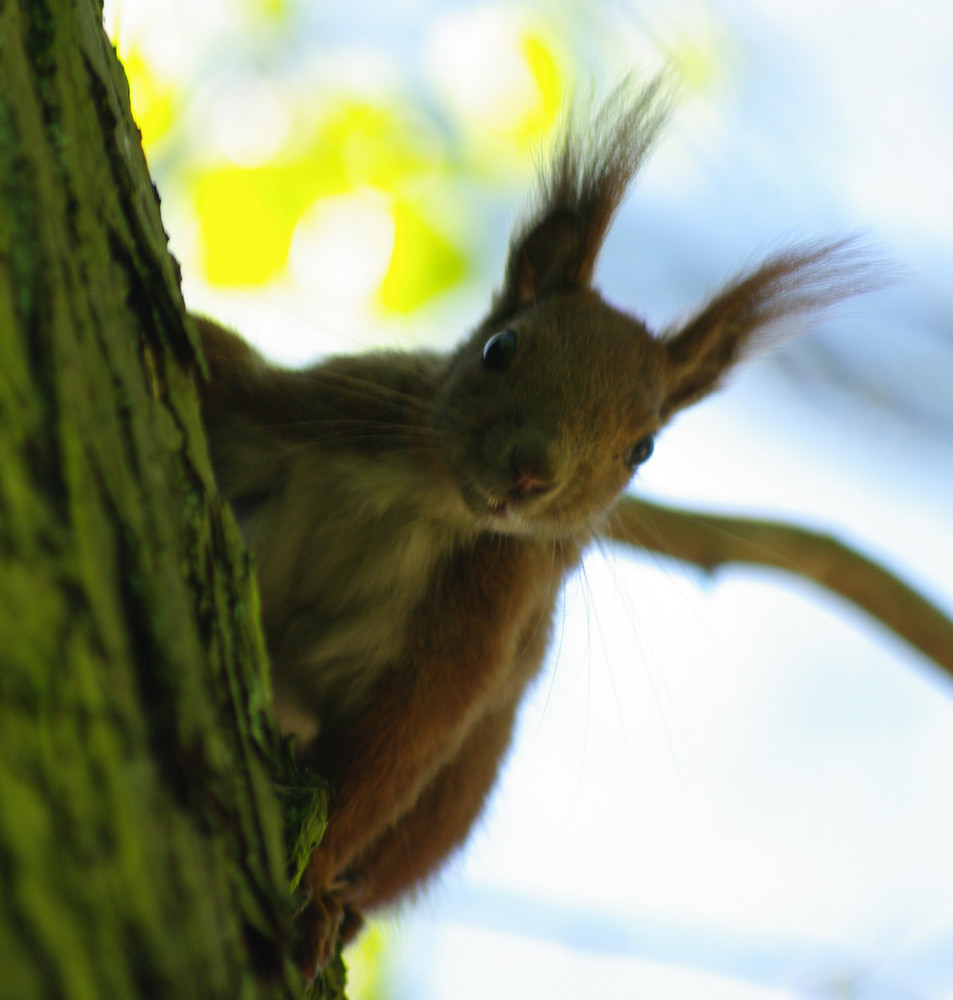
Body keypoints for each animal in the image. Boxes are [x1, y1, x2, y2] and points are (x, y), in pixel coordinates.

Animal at [193, 80, 864, 976]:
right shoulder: (322, 408)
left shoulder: (482, 624)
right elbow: (225, 370)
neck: (431, 500)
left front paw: (311, 881)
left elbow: (396, 748)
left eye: (642, 448)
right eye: (499, 348)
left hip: (460, 791)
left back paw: (343, 907)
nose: (529, 473)